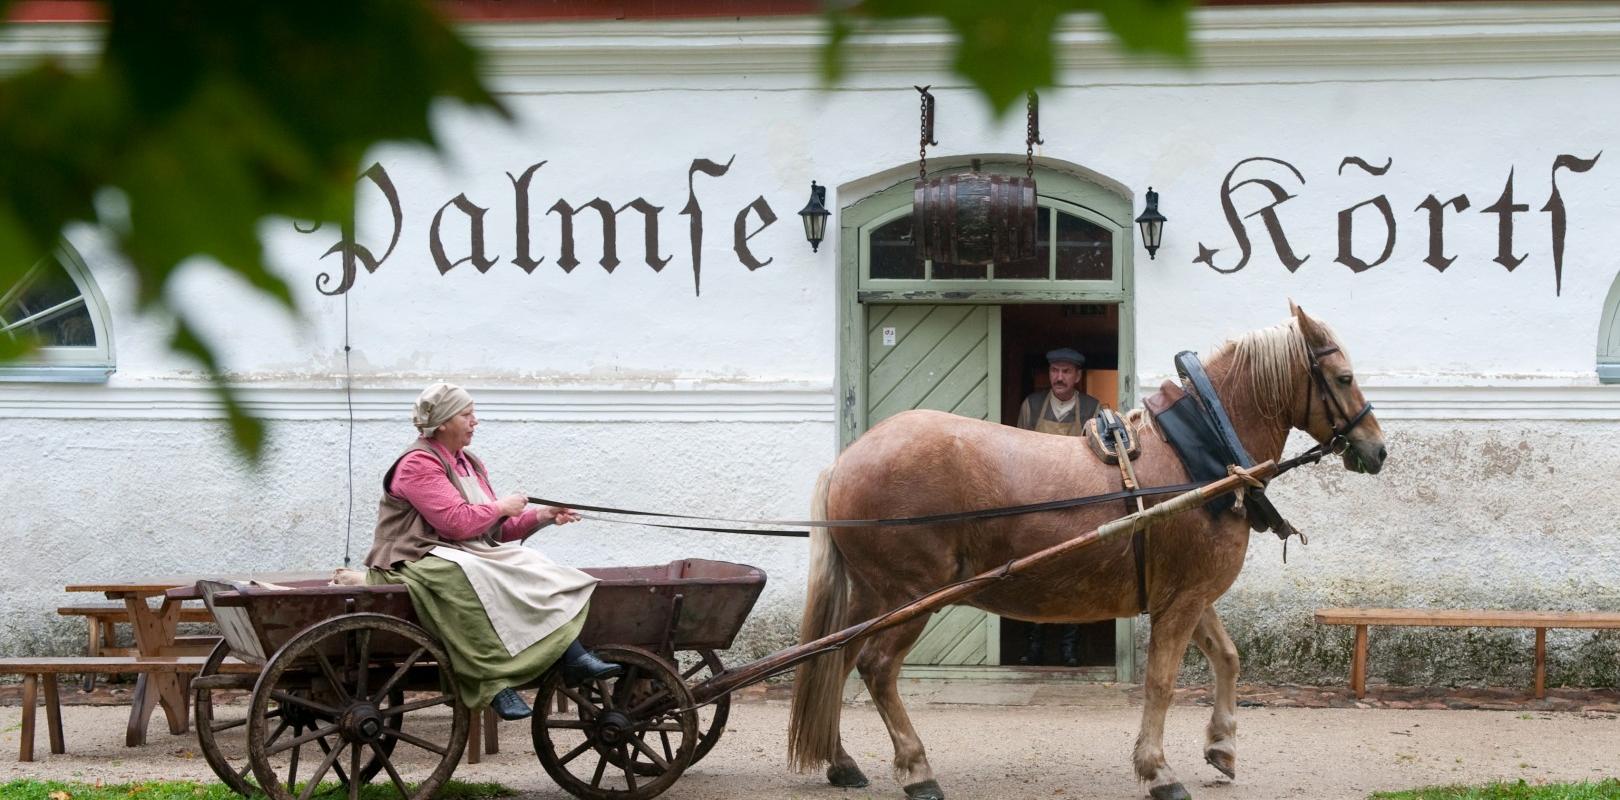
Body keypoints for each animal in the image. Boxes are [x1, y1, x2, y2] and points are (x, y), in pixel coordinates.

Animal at [784, 304, 1380, 800]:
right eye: (1344, 378)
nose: (1377, 449)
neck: (1198, 458)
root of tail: (847, 459)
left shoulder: (1191, 594)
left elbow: (1228, 658)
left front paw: (1222, 746)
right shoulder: (1182, 601)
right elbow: (1161, 682)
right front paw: (1158, 771)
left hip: (873, 597)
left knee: (833, 661)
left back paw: (842, 762)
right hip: (913, 596)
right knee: (876, 668)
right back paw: (917, 770)